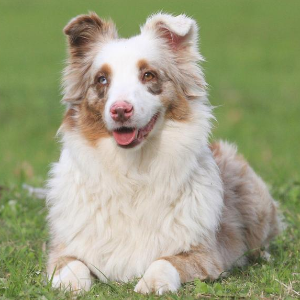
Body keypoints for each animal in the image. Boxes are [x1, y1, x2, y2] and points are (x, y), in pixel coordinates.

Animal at [45, 12, 280, 296]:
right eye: (102, 79)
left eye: (148, 75)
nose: (120, 110)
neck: (133, 170)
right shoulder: (63, 248)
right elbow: (72, 264)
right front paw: (70, 284)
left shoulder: (206, 254)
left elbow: (165, 260)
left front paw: (152, 282)